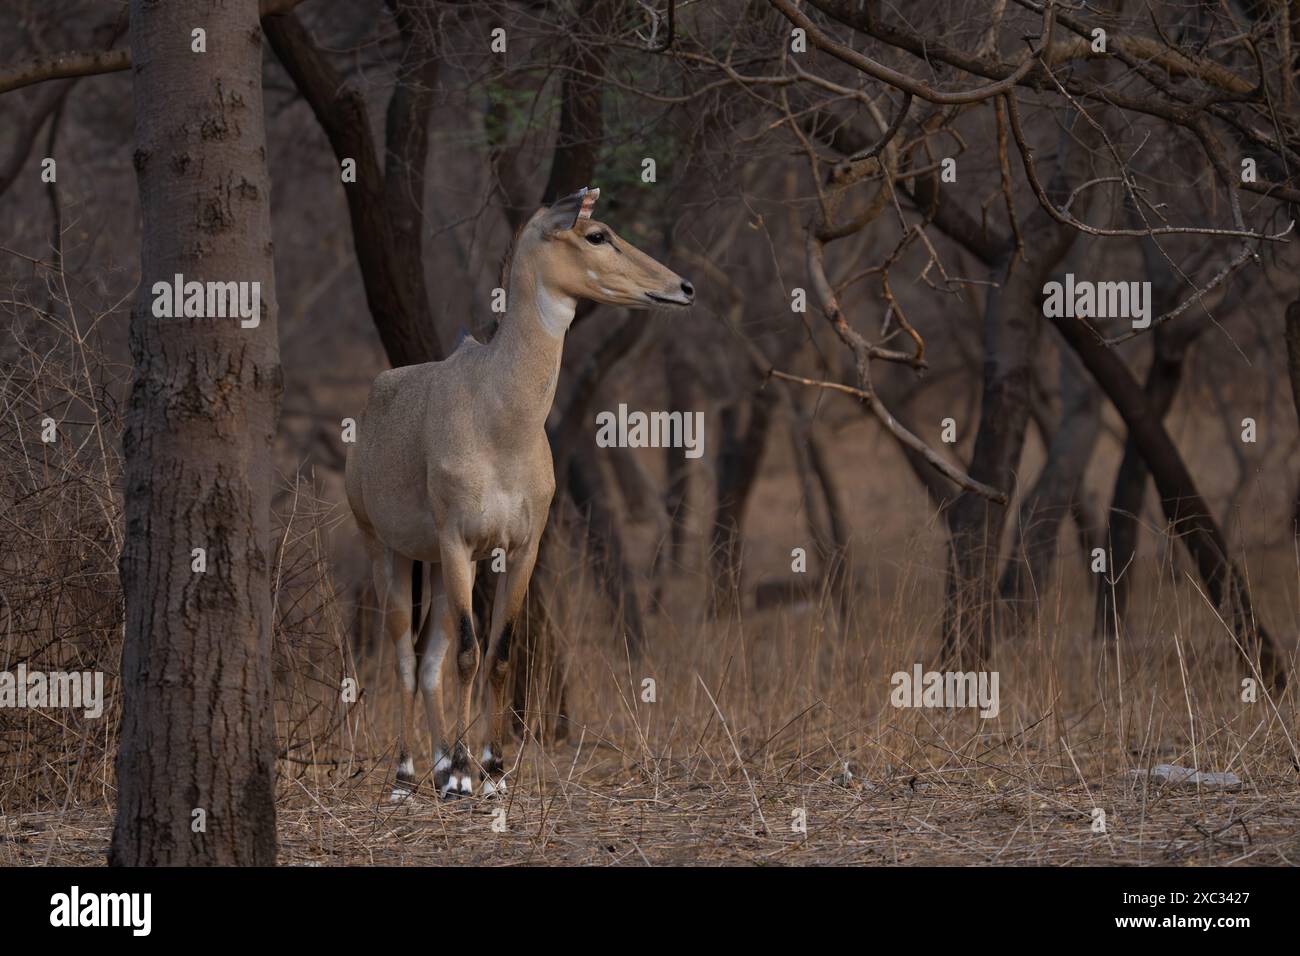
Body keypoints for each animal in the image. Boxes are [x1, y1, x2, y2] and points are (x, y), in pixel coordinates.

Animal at [343, 187, 691, 801]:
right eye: (596, 234)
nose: (682, 287)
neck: (501, 418)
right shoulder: (459, 541)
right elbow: (467, 653)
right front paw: (465, 773)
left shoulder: (520, 546)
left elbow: (501, 653)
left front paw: (492, 769)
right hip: (388, 549)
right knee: (407, 655)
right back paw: (408, 774)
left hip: (436, 566)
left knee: (427, 659)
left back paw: (438, 765)